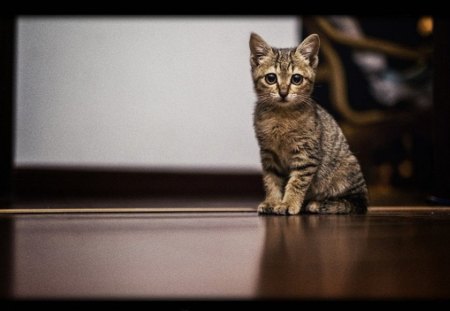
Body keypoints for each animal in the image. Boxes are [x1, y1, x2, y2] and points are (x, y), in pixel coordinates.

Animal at [250, 33, 370, 216]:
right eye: (271, 78)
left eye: (296, 79)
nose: (283, 92)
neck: (281, 115)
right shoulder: (269, 153)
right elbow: (271, 180)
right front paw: (272, 201)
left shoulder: (307, 153)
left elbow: (297, 182)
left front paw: (288, 203)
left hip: (347, 169)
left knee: (357, 202)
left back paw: (320, 204)